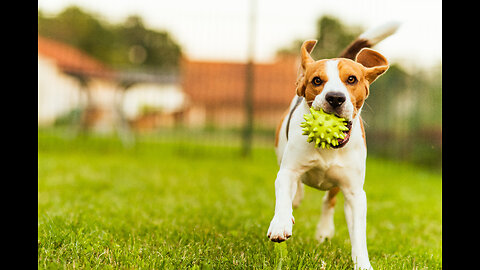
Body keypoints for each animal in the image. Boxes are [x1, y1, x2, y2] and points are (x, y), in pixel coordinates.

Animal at [268, 21, 400, 270]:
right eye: (317, 81)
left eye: (352, 79)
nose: (336, 98)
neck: (328, 148)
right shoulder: (287, 171)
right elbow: (284, 192)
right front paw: (280, 224)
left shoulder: (355, 192)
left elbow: (358, 233)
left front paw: (362, 263)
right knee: (297, 191)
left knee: (328, 200)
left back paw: (324, 230)